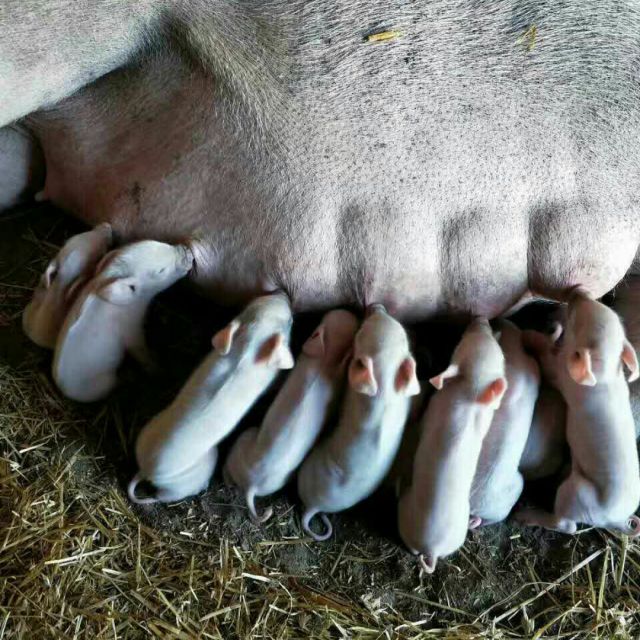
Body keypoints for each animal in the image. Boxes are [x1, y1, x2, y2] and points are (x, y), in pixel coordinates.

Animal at [52, 240, 193, 402]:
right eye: (161, 271)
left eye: (160, 243)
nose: (188, 251)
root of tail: (62, 389)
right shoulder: (132, 330)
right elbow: (141, 351)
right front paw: (158, 369)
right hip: (104, 384)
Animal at [128, 293, 294, 504]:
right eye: (289, 321)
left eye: (252, 303)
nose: (282, 293)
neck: (246, 351)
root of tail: (146, 470)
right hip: (194, 473)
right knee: (163, 496)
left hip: (146, 432)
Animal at [516, 288, 640, 535]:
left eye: (575, 321)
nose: (578, 290)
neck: (603, 372)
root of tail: (617, 521)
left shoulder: (562, 377)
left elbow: (547, 359)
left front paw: (526, 335)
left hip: (575, 494)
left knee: (567, 524)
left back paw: (524, 516)